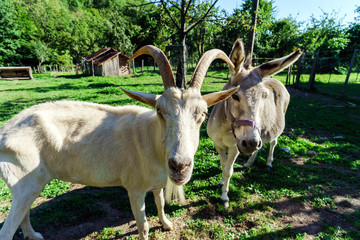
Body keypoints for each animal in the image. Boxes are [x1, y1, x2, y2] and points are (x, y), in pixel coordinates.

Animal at [0, 45, 238, 240]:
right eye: (159, 110)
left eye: (203, 113)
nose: (179, 166)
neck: (151, 140)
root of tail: (4, 132)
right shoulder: (134, 188)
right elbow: (143, 226)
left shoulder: (156, 182)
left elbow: (160, 204)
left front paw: (167, 224)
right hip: (24, 182)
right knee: (8, 228)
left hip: (29, 186)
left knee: (24, 213)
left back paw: (33, 235)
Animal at [207, 39, 302, 206]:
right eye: (234, 95)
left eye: (264, 96)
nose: (250, 143)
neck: (226, 127)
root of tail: (276, 79)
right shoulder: (218, 144)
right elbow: (223, 165)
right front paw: (221, 182)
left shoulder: (235, 147)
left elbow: (229, 170)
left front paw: (224, 196)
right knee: (261, 145)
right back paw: (249, 162)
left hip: (272, 129)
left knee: (272, 142)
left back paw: (268, 163)